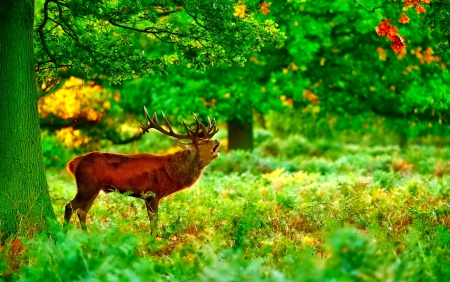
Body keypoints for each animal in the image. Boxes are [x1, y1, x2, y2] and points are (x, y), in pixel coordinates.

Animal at [64, 107, 221, 230]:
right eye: (200, 142)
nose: (217, 140)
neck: (172, 172)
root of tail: (73, 163)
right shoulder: (153, 193)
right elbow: (154, 222)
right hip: (87, 186)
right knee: (69, 207)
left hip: (94, 189)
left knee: (82, 212)